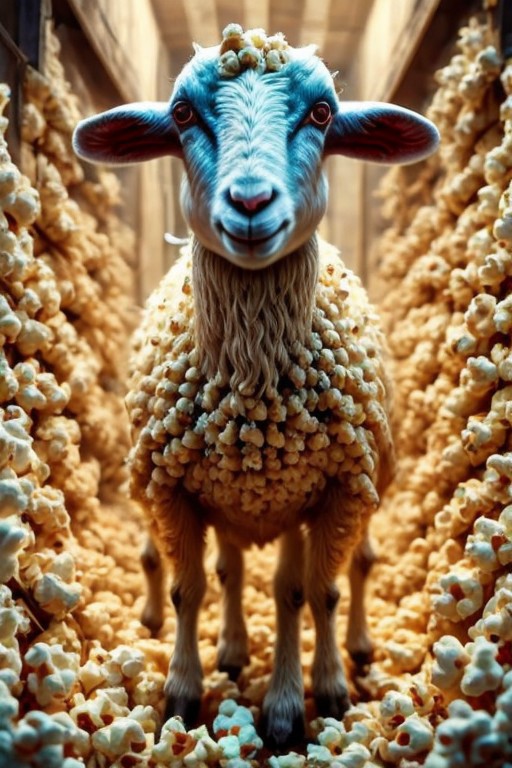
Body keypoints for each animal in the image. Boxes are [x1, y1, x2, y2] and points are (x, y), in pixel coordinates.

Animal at [73, 26, 439, 748]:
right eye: (182, 113)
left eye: (323, 113)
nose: (248, 203)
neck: (254, 387)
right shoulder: (174, 489)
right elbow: (191, 590)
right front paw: (183, 693)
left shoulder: (336, 489)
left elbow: (313, 593)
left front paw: (304, 700)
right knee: (226, 570)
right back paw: (232, 649)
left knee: (344, 571)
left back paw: (349, 654)